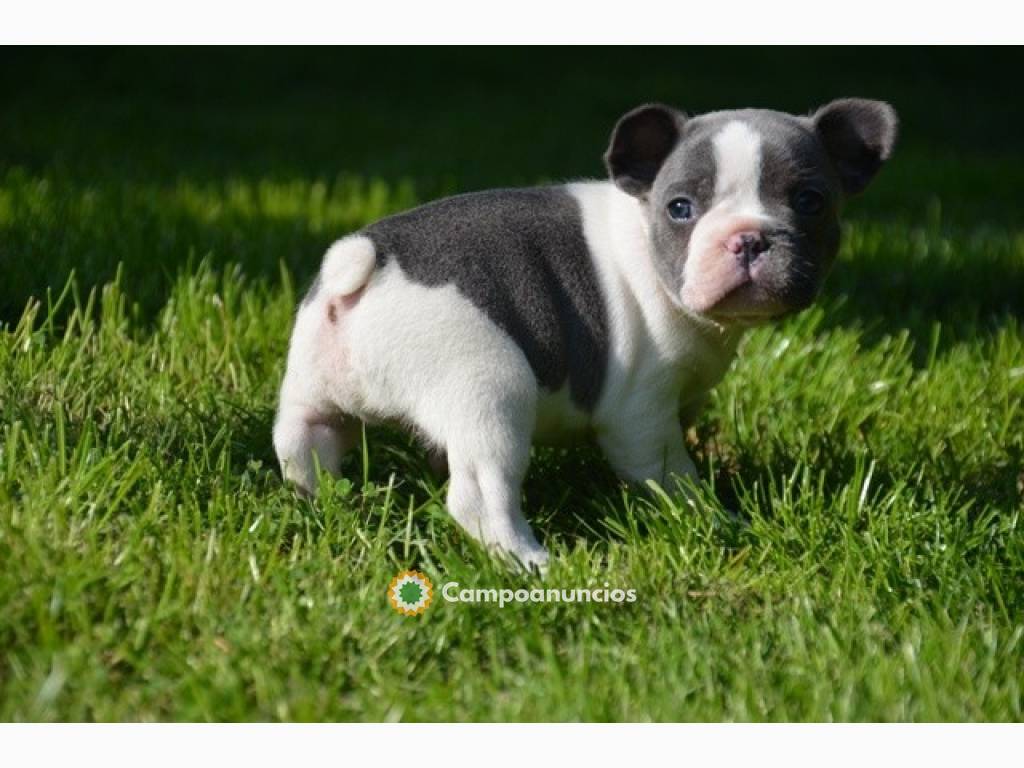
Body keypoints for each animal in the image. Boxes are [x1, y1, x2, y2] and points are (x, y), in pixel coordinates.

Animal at [272, 97, 897, 573]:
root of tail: (363, 264)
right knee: (480, 495)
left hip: (313, 392)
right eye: (681, 208)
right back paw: (531, 562)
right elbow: (670, 471)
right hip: (490, 389)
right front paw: (711, 517)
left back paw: (325, 505)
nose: (749, 237)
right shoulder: (640, 412)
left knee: (304, 445)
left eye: (810, 202)